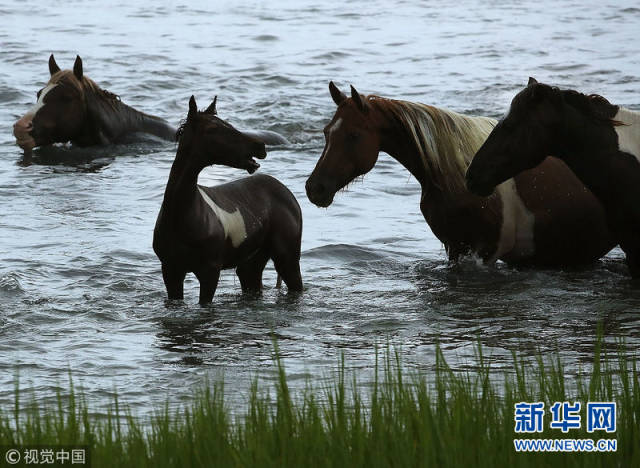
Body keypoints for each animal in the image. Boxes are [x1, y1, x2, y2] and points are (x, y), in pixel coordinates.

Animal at [153, 97, 302, 306]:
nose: (260, 146)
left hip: (287, 258)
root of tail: (285, 192)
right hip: (251, 264)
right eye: (213, 129)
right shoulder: (171, 271)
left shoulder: (210, 271)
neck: (182, 215)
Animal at [304, 82, 616, 268]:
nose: (314, 188)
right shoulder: (454, 247)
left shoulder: (485, 251)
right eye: (326, 132)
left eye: (354, 136)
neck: (453, 175)